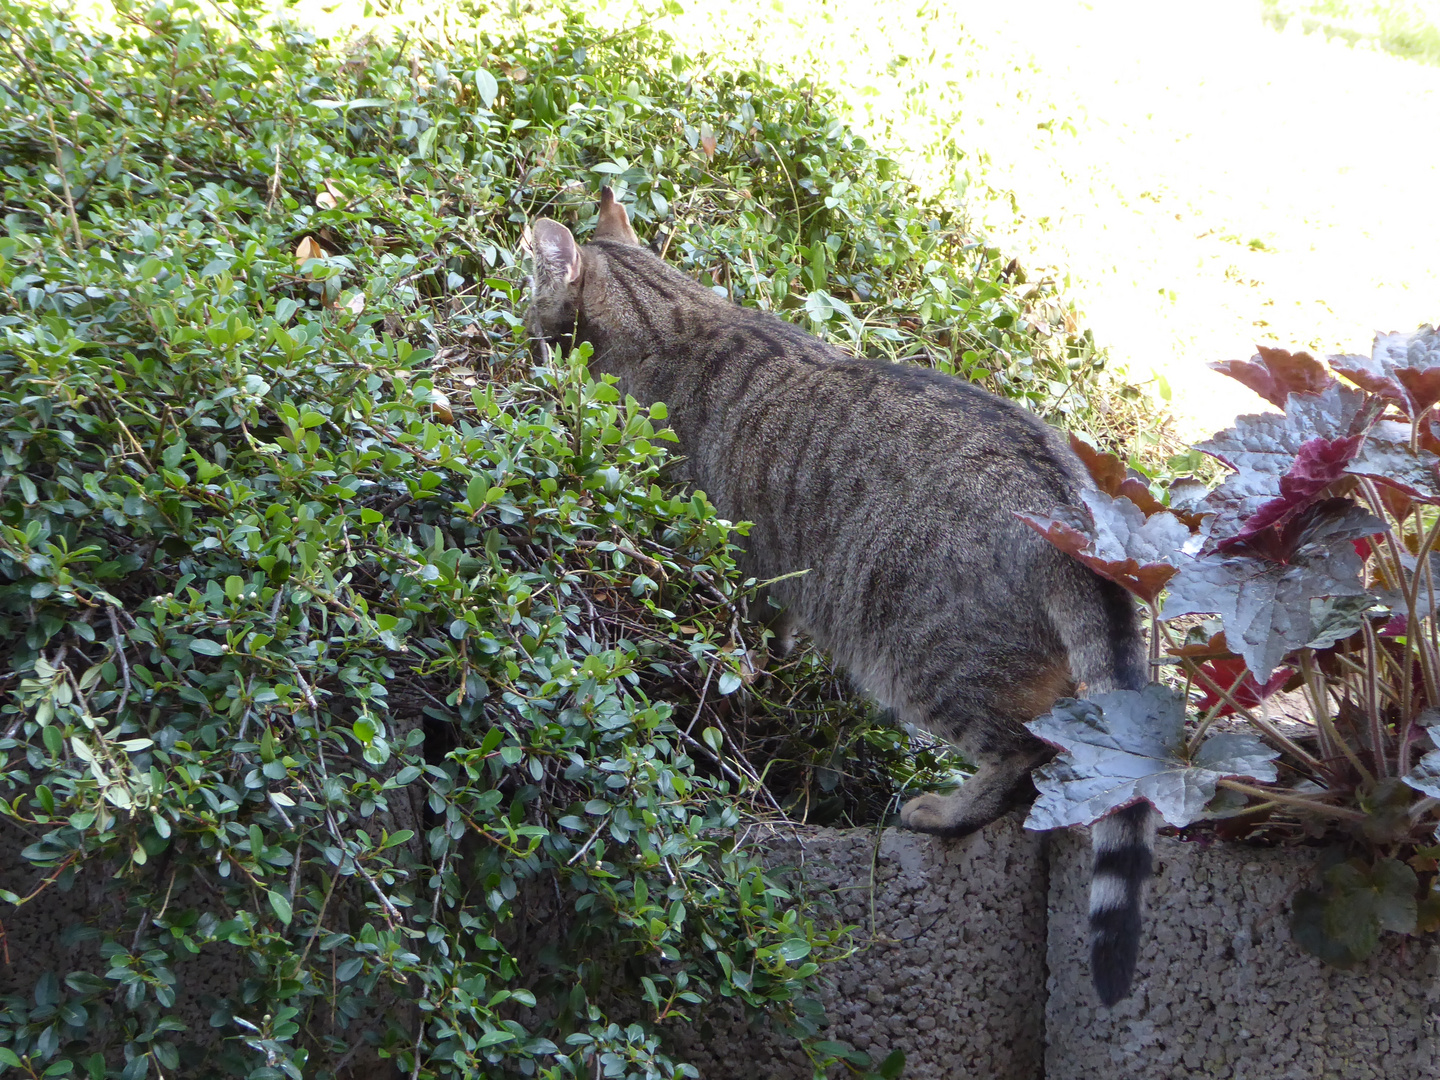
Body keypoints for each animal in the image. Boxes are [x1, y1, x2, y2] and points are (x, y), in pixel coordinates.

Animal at [524, 188, 1152, 1008]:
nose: (518, 331)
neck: (678, 315)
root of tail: (1072, 507)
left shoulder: (724, 545)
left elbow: (746, 628)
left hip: (923, 656)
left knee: (1021, 753)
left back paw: (948, 811)